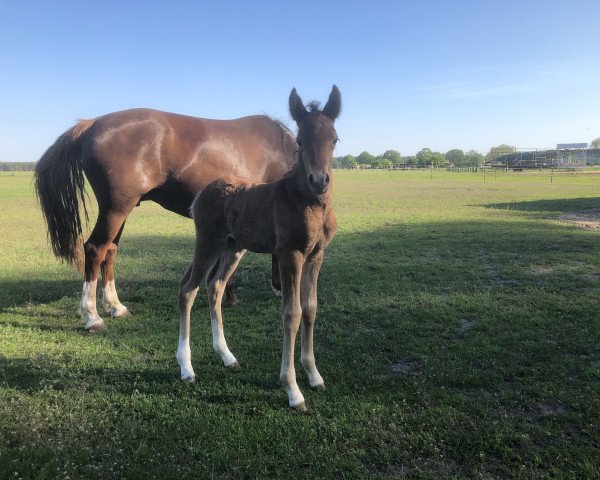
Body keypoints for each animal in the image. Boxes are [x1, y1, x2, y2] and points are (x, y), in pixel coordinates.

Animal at [34, 106, 296, 330]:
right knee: (95, 249)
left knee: (110, 251)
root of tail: (93, 123)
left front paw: (229, 294)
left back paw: (116, 307)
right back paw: (92, 317)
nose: (279, 288)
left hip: (119, 211)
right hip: (115, 209)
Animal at [176, 85, 340, 408]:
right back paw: (186, 367)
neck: (309, 204)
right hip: (209, 242)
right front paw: (292, 389)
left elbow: (310, 309)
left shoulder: (317, 255)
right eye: (299, 142)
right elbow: (292, 313)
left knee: (215, 286)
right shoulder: (290, 254)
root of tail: (201, 194)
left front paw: (314, 375)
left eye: (334, 139)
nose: (319, 181)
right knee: (188, 289)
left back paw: (227, 356)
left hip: (232, 248)